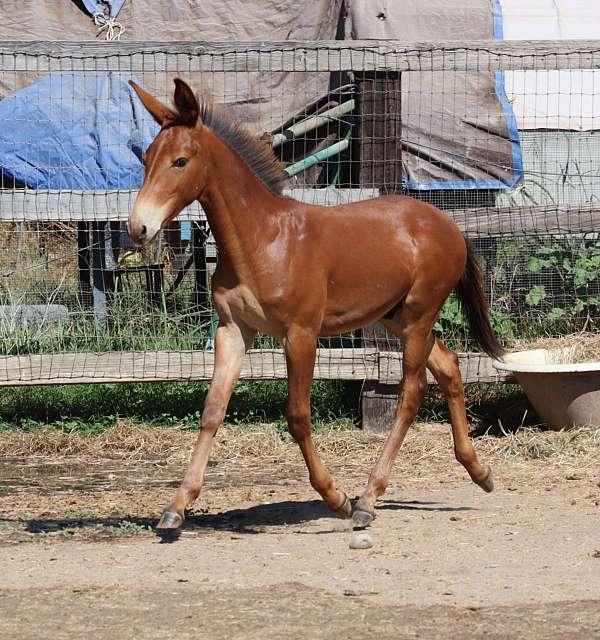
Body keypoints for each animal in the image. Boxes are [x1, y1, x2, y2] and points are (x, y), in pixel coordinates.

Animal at [127, 78, 502, 533]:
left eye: (180, 161)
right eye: (146, 157)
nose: (138, 227)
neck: (262, 239)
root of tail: (449, 225)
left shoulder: (301, 334)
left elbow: (298, 415)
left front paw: (335, 497)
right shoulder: (233, 330)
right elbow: (213, 410)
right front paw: (177, 505)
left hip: (417, 317)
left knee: (411, 394)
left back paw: (367, 500)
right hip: (395, 318)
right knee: (449, 365)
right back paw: (478, 471)